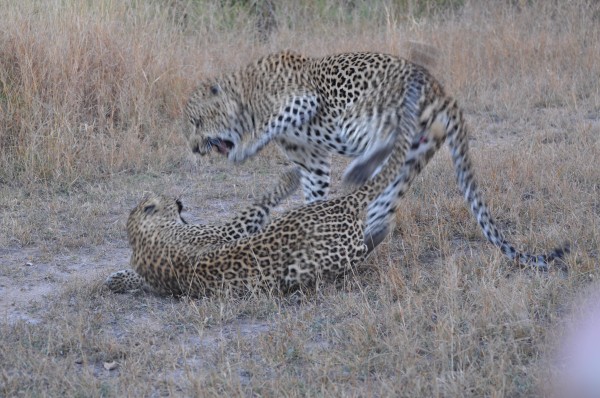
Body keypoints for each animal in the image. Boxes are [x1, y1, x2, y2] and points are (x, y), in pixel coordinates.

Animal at [104, 166, 300, 294]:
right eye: (167, 198)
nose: (178, 199)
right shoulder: (226, 231)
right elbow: (259, 204)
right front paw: (290, 178)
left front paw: (117, 279)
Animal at [183, 49, 568, 268]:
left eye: (196, 122)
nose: (193, 148)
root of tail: (442, 91)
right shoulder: (311, 160)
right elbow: (313, 191)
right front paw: (309, 228)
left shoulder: (302, 100)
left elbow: (269, 122)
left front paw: (244, 148)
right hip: (412, 158)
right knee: (385, 206)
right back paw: (365, 232)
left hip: (359, 116)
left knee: (387, 135)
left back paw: (357, 172)